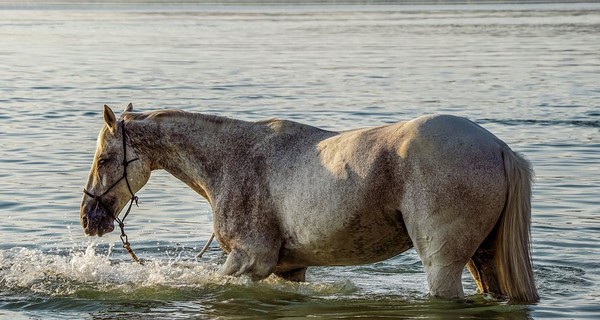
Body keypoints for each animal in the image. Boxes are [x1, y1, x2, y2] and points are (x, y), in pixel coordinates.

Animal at [79, 104, 540, 302]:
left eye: (104, 160)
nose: (89, 217)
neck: (233, 158)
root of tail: (499, 148)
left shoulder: (250, 260)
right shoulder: (288, 269)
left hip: (442, 263)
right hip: (483, 259)